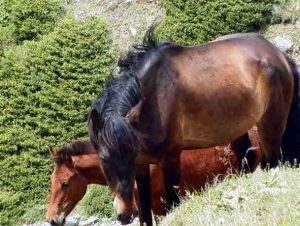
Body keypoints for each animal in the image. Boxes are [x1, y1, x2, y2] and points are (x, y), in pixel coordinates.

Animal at [89, 30, 300, 226]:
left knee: (272, 161)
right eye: (104, 159)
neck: (152, 98)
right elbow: (145, 211)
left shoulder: (170, 158)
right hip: (238, 129)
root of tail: (279, 55)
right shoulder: (141, 166)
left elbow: (173, 202)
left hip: (270, 126)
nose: (125, 214)